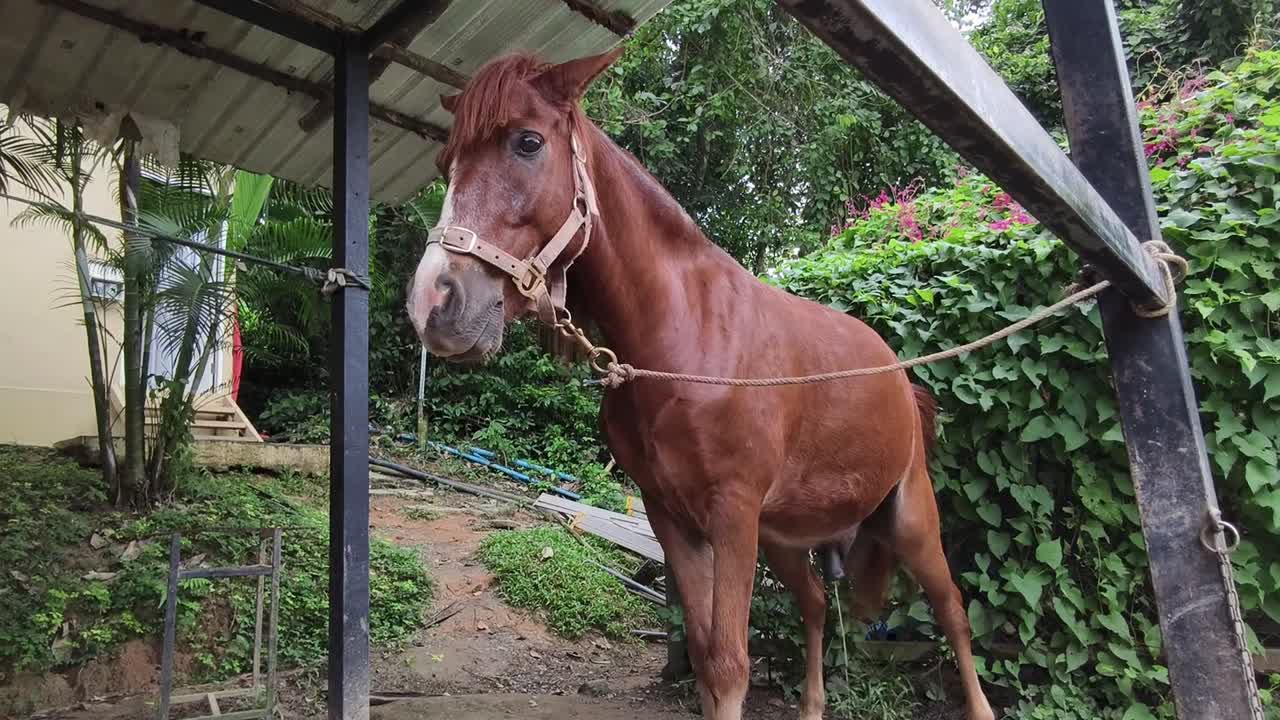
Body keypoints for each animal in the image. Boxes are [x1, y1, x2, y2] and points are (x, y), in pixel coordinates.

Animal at [406, 48, 995, 720]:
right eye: (445, 164)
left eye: (527, 142)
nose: (434, 303)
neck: (687, 340)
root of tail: (899, 379)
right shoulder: (673, 518)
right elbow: (708, 655)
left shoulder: (731, 516)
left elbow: (730, 665)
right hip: (786, 539)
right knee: (817, 603)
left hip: (912, 519)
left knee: (953, 611)